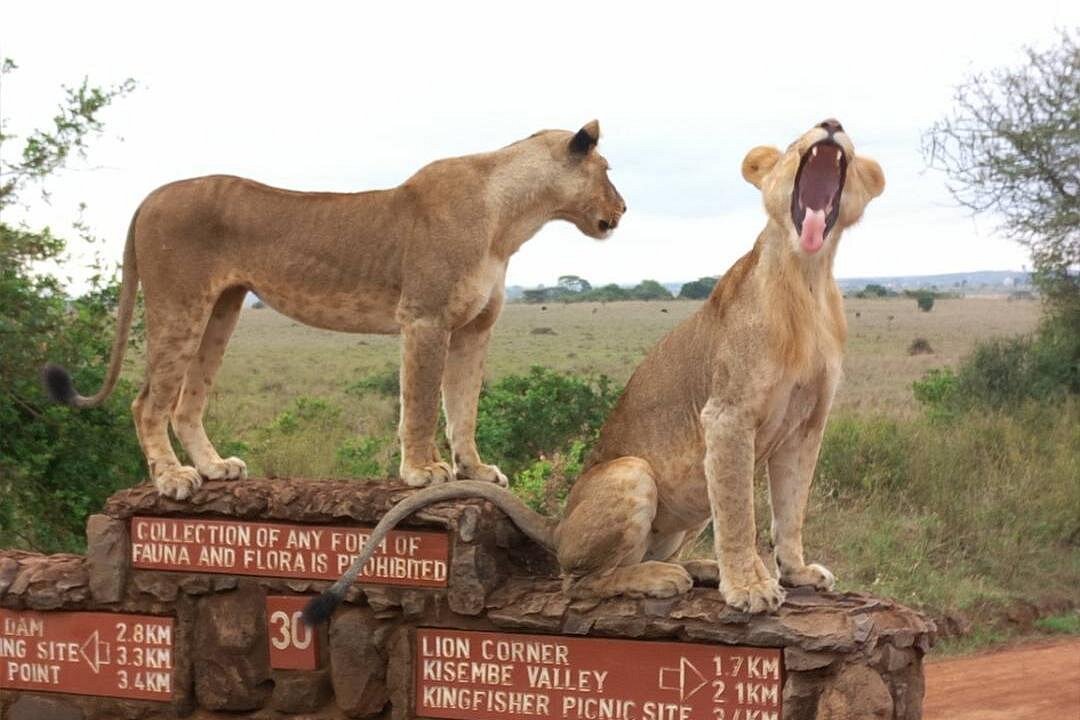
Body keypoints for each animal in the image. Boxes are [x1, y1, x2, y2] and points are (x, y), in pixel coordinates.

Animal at [43, 121, 626, 499]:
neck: (511, 217)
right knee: (147, 402)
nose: (622, 209)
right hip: (179, 304)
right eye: (608, 169)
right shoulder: (426, 318)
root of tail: (151, 195)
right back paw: (172, 479)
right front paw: (422, 472)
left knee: (186, 403)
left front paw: (476, 471)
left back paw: (214, 468)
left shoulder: (475, 328)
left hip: (221, 310)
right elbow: (420, 404)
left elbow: (463, 408)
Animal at [304, 119, 885, 623]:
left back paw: (695, 567)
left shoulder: (807, 426)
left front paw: (796, 571)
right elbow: (741, 513)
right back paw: (665, 577)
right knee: (578, 580)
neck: (807, 277)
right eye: (793, 142)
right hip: (632, 472)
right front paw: (749, 587)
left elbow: (792, 505)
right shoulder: (727, 416)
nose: (831, 123)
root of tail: (558, 523)